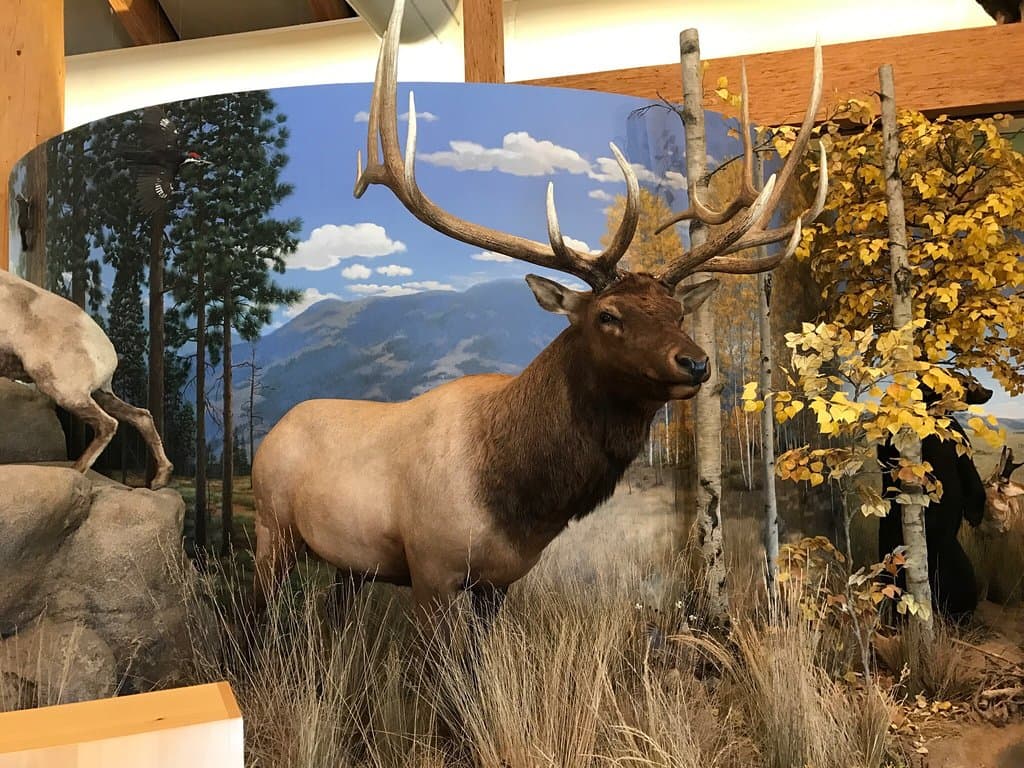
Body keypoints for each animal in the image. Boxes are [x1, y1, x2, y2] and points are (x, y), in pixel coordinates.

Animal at [0, 268, 174, 489]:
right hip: (100, 394)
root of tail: (109, 353)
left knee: (108, 424)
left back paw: (75, 471)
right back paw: (160, 479)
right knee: (141, 416)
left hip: (66, 393)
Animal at [251, 0, 827, 630]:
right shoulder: (429, 567)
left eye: (677, 311)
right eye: (608, 315)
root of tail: (270, 432)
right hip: (271, 529)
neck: (518, 502)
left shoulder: (498, 581)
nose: (696, 362)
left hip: (348, 563)